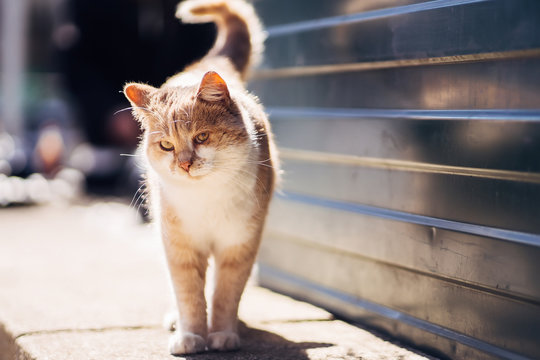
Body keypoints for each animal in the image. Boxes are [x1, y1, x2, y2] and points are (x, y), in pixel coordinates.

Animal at [123, 0, 278, 356]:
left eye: (202, 137)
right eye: (167, 145)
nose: (184, 164)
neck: (207, 197)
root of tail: (207, 65)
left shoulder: (239, 245)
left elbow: (225, 294)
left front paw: (222, 334)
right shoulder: (180, 246)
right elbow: (190, 296)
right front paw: (191, 336)